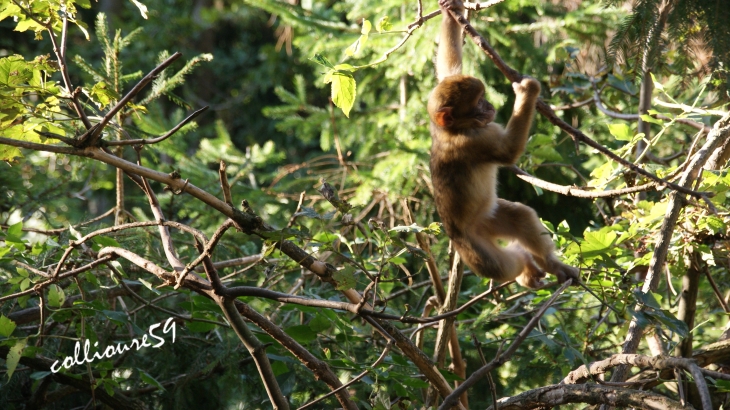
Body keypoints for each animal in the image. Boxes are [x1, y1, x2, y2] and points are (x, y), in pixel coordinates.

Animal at [426, 0, 576, 288]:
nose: (490, 106)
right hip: (475, 249)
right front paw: (528, 91)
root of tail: (458, 236)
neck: (454, 129)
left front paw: (451, 10)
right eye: (478, 103)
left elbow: (448, 68)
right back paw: (528, 263)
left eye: (483, 98)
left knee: (519, 216)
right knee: (501, 266)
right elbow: (507, 152)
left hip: (489, 219)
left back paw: (542, 263)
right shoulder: (476, 141)